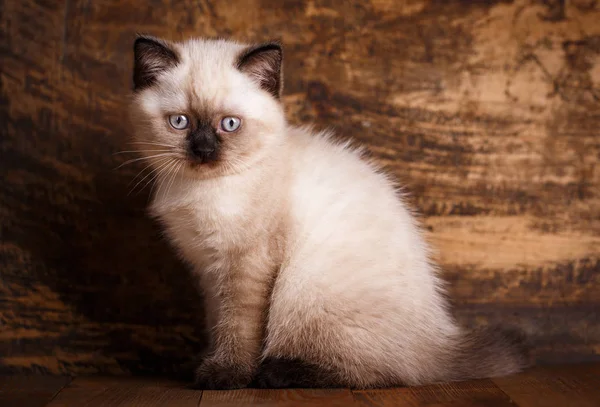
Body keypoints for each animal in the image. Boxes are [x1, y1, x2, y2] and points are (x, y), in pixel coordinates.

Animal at [129, 34, 528, 388]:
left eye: (229, 124)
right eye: (180, 122)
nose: (204, 150)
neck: (202, 189)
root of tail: (439, 341)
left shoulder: (246, 265)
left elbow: (238, 328)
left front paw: (227, 376)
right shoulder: (210, 271)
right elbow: (218, 323)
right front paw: (207, 364)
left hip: (303, 289)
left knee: (387, 374)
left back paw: (277, 374)